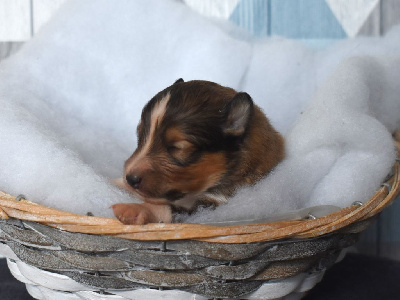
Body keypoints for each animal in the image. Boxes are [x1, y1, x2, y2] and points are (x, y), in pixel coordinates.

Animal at [111, 78, 284, 224]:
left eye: (176, 147)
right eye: (140, 137)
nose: (130, 179)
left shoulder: (219, 202)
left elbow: (173, 209)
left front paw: (136, 208)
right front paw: (118, 182)